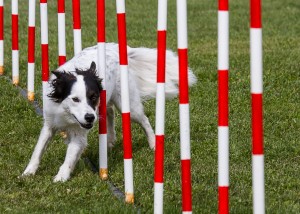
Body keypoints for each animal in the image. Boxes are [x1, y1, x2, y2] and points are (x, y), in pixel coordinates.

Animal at [21, 42, 197, 181]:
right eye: (75, 99)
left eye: (93, 97)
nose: (90, 117)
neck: (67, 114)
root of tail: (115, 47)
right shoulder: (50, 124)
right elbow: (38, 149)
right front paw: (28, 172)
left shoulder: (79, 134)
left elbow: (70, 156)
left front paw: (61, 177)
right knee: (110, 112)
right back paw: (111, 140)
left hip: (127, 105)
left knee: (144, 120)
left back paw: (153, 144)